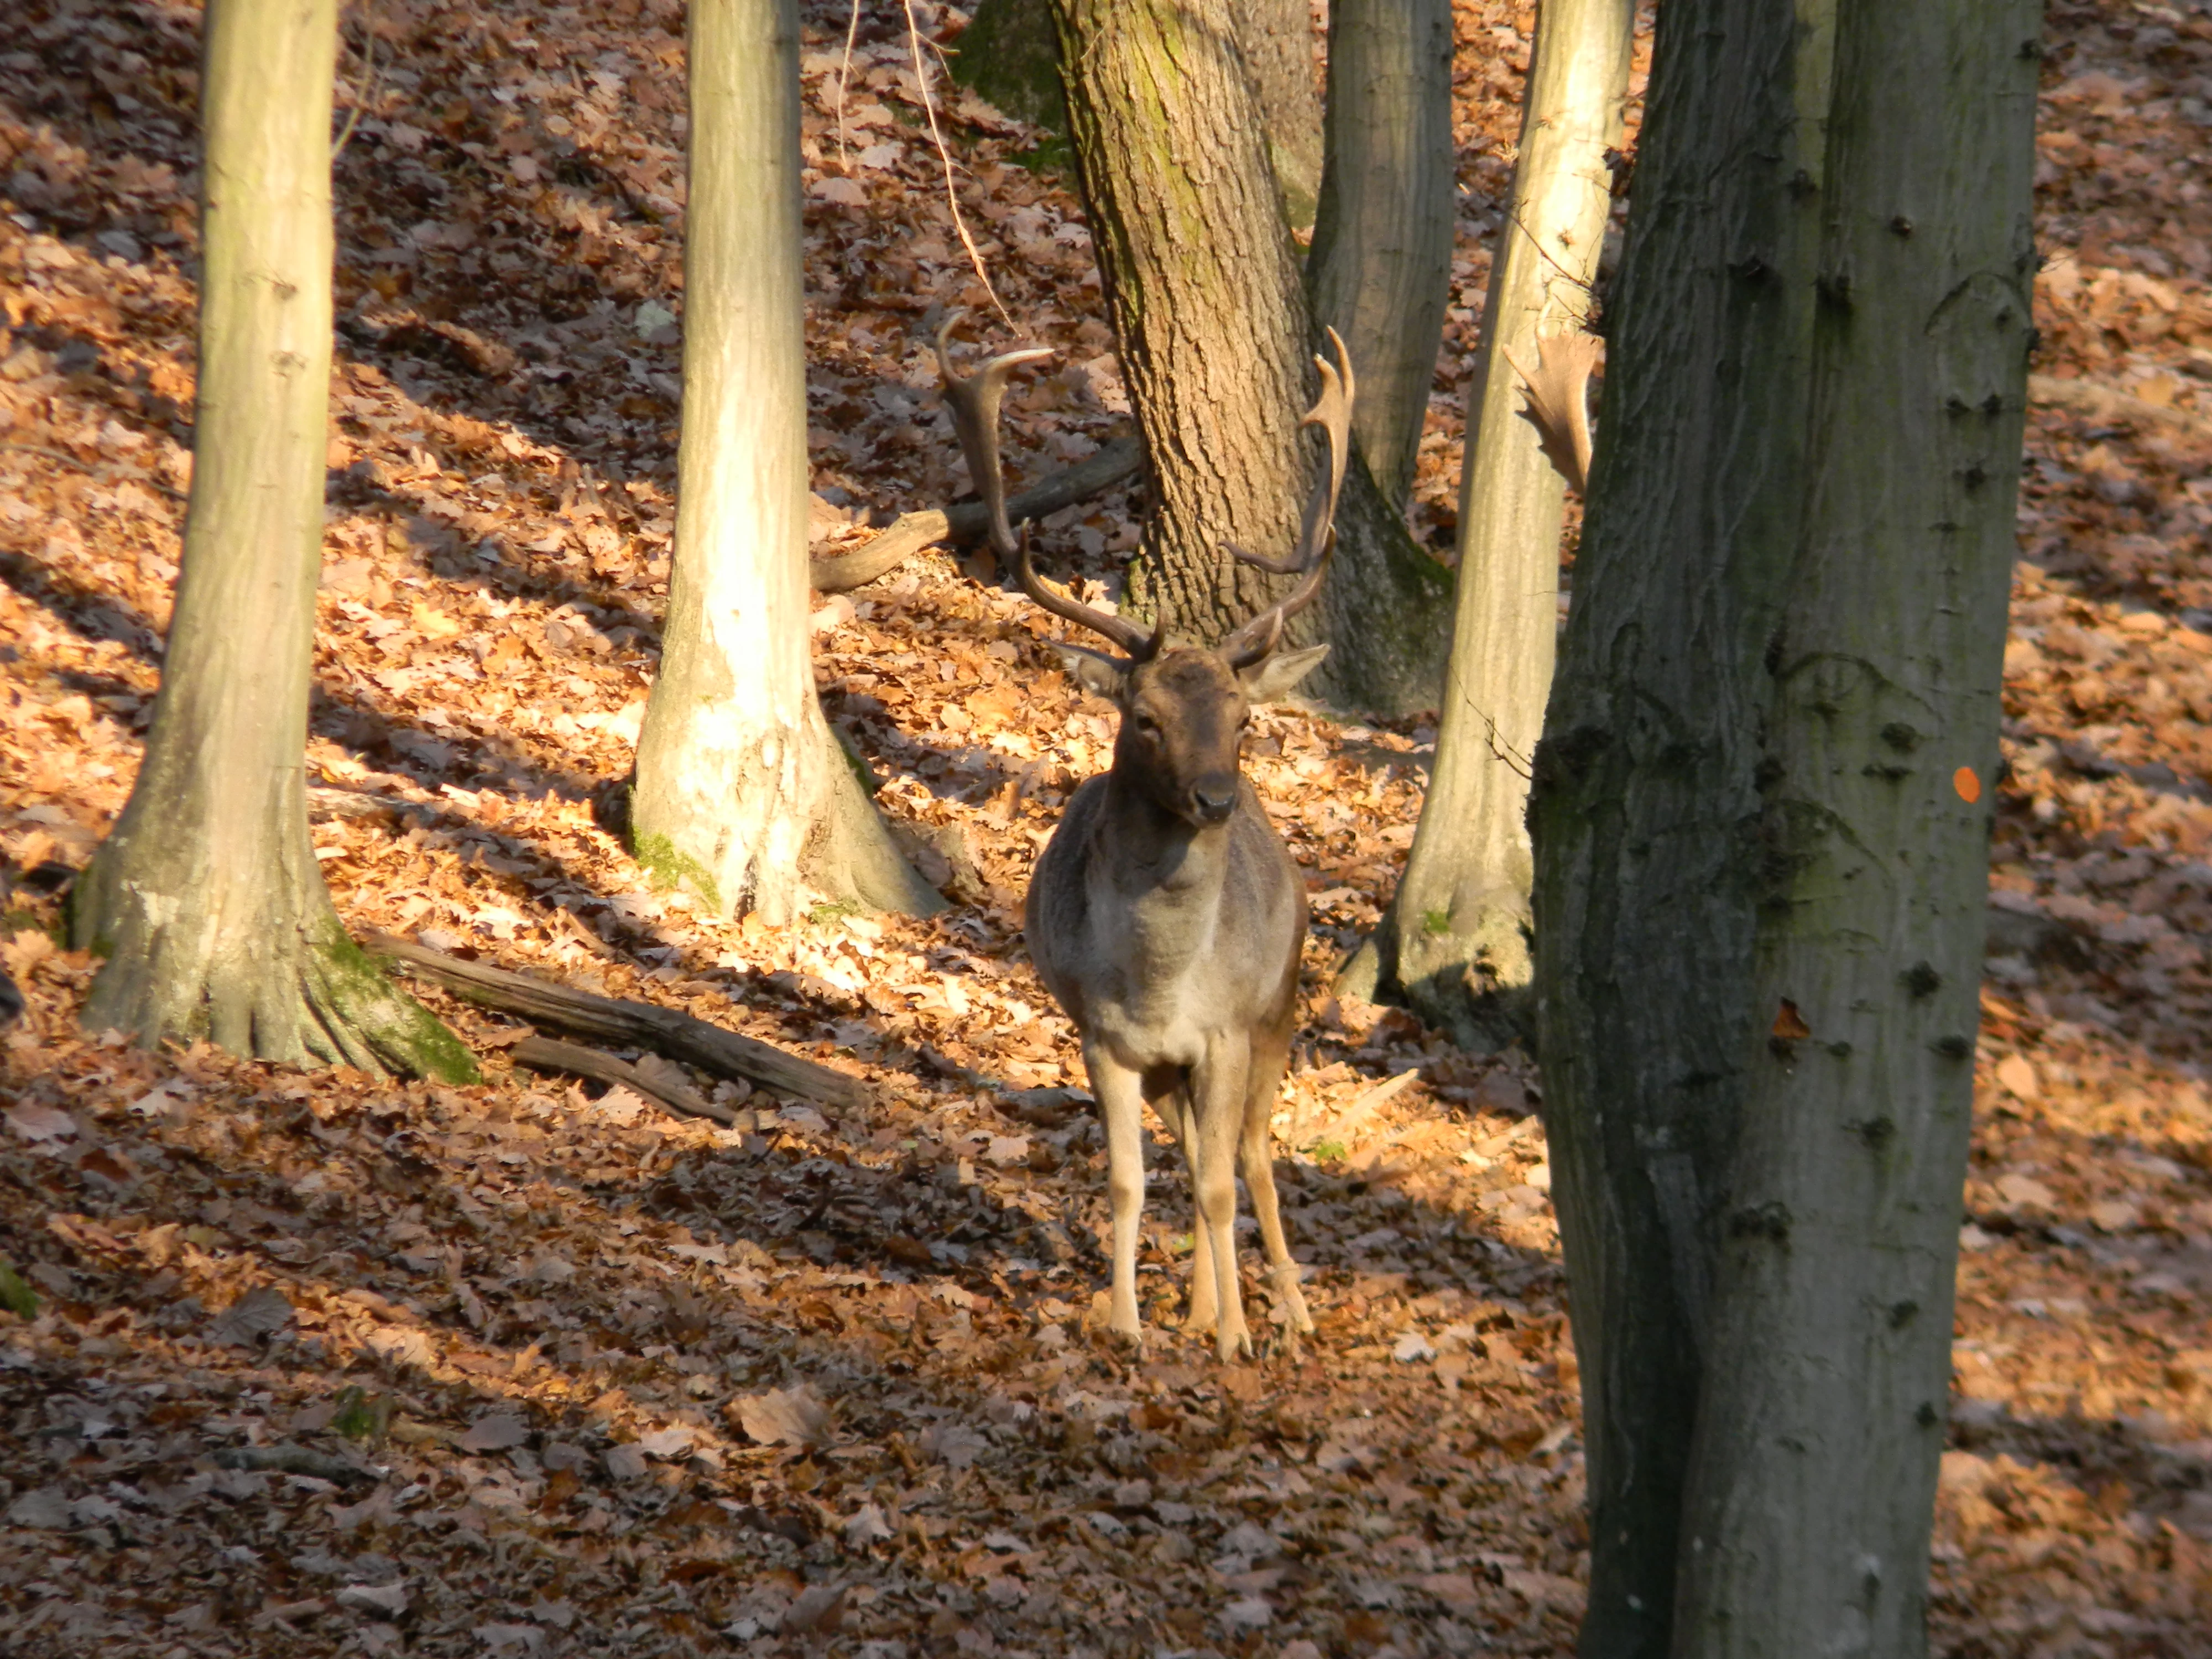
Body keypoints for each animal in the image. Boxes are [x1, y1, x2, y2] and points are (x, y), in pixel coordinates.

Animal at [933, 319, 1345, 1354]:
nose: (1215, 798)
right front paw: (1126, 1322)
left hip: (1282, 1006)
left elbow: (1222, 1182)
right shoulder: (1103, 1038)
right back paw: (1199, 1306)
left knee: (1252, 1157)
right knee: (1199, 1151)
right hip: (1171, 1069)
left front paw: (1239, 1338)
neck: (1160, 981)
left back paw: (1288, 1310)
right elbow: (1129, 1180)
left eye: (1243, 717)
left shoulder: (1229, 1029)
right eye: (1145, 719)